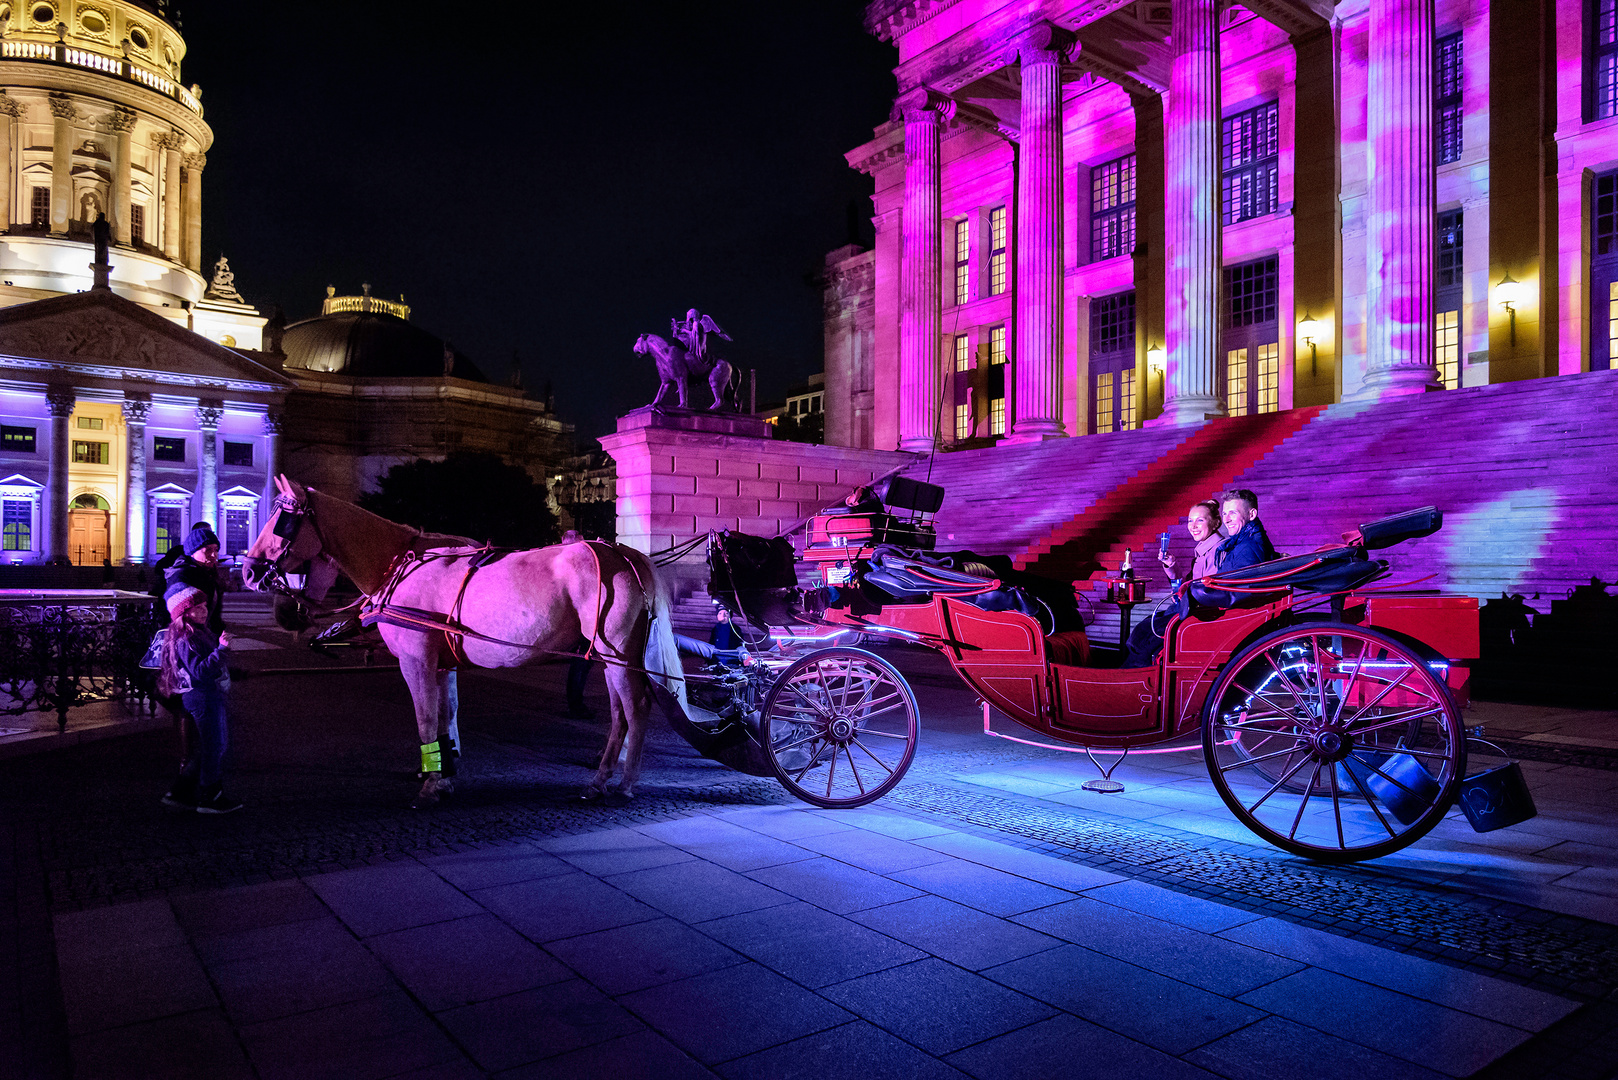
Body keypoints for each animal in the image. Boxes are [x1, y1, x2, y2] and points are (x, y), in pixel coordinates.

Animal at [239, 476, 682, 806]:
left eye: (282, 521)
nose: (248, 571)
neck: (403, 565)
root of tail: (626, 555)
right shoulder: (443, 663)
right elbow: (446, 714)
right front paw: (446, 771)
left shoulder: (416, 660)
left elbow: (424, 718)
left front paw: (431, 783)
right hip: (610, 658)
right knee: (620, 712)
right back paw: (601, 778)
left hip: (616, 652)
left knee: (636, 708)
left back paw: (624, 783)